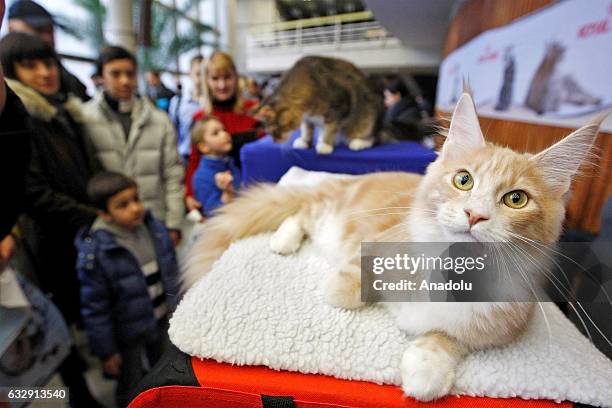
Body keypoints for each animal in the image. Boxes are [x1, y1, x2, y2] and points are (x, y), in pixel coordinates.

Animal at [182, 93, 604, 402]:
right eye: (464, 180)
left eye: (516, 199)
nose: (475, 215)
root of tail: (344, 181)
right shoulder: (376, 243)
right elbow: (348, 286)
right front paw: (350, 289)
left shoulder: (501, 323)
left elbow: (450, 337)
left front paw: (426, 368)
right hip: (329, 213)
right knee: (302, 212)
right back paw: (283, 240)